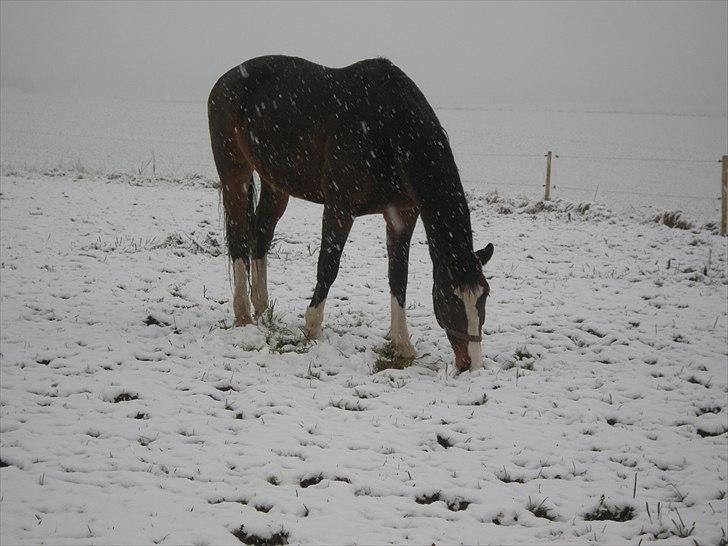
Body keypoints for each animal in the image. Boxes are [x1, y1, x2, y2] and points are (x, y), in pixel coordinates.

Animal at [209, 55, 494, 370]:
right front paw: (312, 328)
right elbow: (328, 266)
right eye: (449, 297)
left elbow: (399, 276)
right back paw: (243, 315)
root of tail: (226, 80)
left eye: (484, 296)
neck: (389, 127)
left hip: (275, 184)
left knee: (260, 234)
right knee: (238, 239)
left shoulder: (403, 215)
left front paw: (402, 344)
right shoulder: (339, 208)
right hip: (234, 175)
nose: (471, 364)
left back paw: (261, 308)